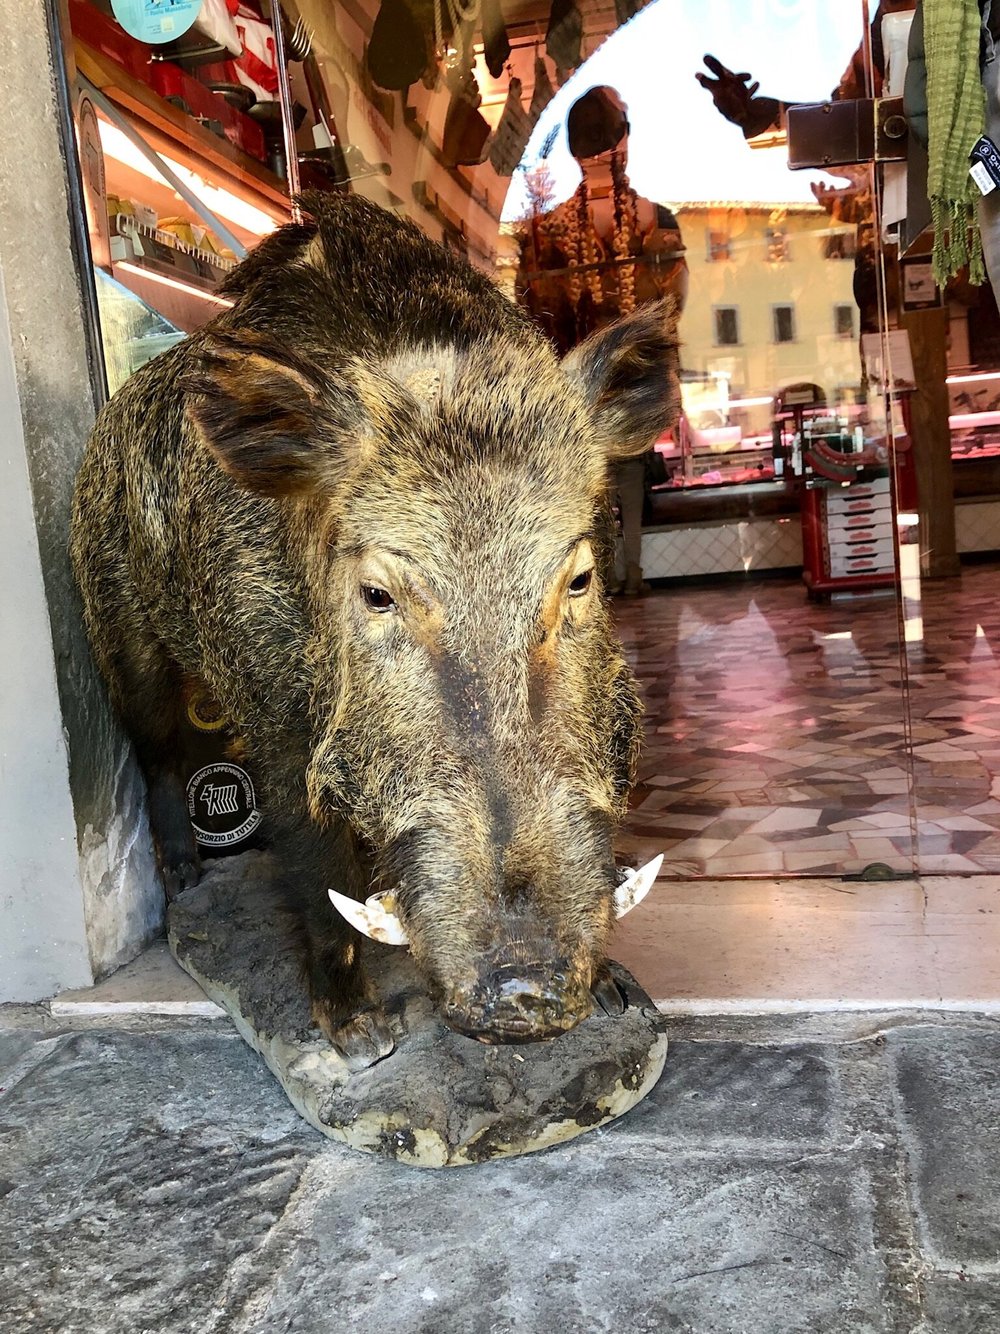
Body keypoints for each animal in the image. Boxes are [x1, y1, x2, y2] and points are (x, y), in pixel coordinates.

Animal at [70, 193, 680, 1068]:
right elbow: (310, 853)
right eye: (377, 594)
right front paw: (360, 1038)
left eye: (579, 579)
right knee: (154, 751)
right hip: (120, 634)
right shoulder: (273, 714)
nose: (524, 992)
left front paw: (611, 997)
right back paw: (185, 883)